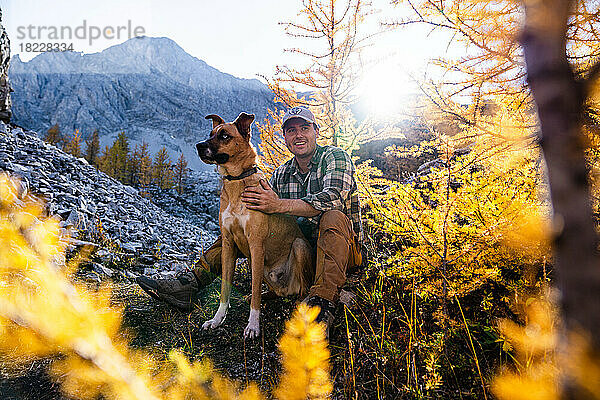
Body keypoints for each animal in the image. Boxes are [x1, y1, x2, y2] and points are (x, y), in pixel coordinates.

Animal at [196, 111, 314, 338]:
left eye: (224, 136)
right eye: (210, 134)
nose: (198, 145)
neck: (236, 181)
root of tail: (287, 288)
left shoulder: (256, 244)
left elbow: (255, 292)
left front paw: (253, 325)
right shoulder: (228, 244)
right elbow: (225, 289)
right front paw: (217, 319)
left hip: (298, 247)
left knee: (302, 289)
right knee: (270, 291)